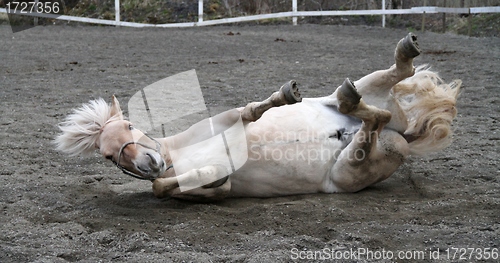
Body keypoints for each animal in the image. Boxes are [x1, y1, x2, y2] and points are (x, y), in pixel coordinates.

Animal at [55, 33, 460, 202]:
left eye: (130, 126)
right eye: (108, 155)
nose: (150, 163)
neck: (176, 156)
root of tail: (402, 134)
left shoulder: (227, 120)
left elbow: (250, 110)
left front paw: (284, 95)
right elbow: (167, 187)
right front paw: (206, 182)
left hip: (363, 94)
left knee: (396, 78)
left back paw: (398, 55)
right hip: (351, 167)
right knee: (374, 119)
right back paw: (355, 105)